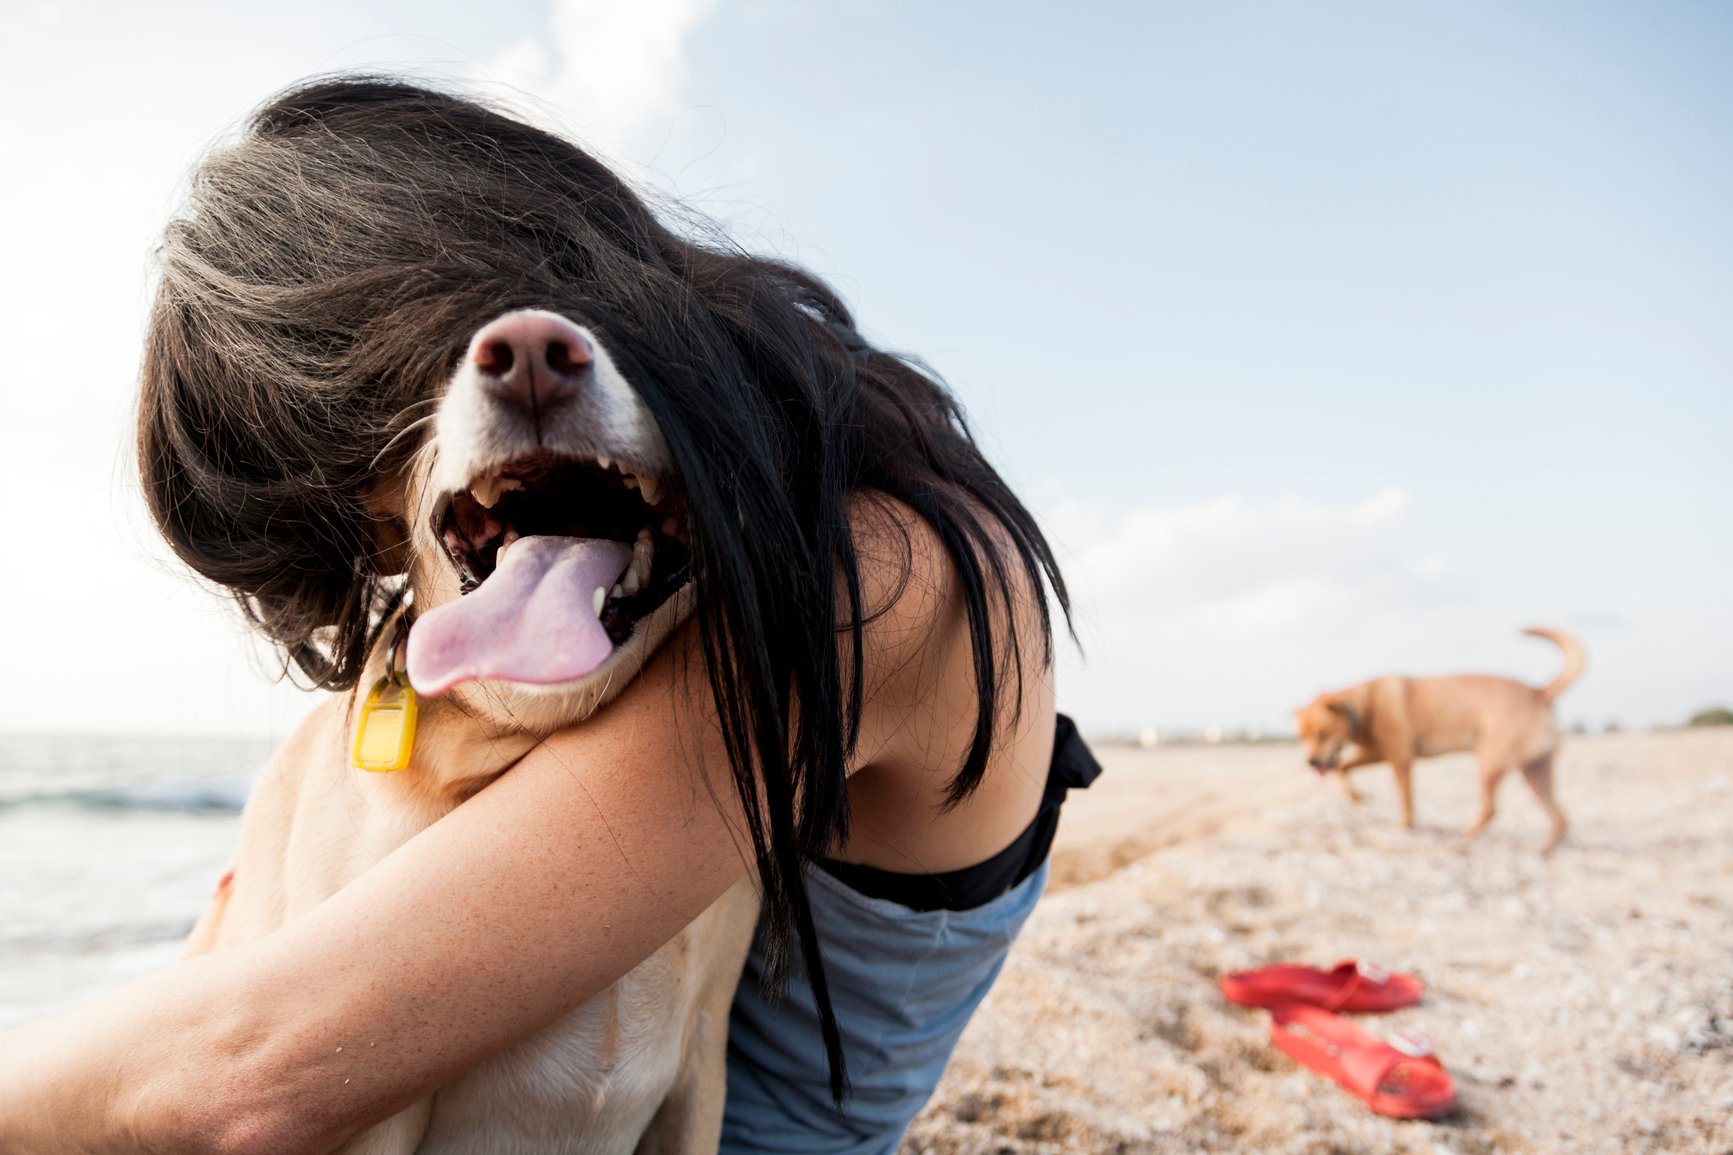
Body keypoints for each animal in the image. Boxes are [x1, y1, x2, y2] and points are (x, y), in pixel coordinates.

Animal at [1303, 624, 1587, 849]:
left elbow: (1405, 798)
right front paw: (1357, 797)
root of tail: (1538, 692)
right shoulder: (1376, 752)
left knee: (1491, 809)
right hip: (1535, 771)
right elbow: (1343, 767)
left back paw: (1463, 838)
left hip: (1491, 762)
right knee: (1560, 817)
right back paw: (1546, 850)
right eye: (1304, 737)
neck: (1364, 704)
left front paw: (1406, 825)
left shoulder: (1400, 759)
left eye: (1323, 734)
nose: (1312, 762)